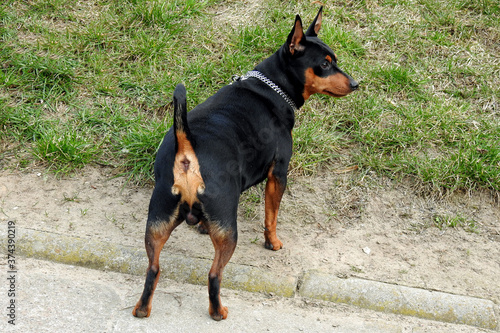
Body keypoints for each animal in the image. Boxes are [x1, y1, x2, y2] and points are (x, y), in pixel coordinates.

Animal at [135, 7, 358, 320]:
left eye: (334, 60)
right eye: (324, 65)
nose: (355, 84)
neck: (273, 87)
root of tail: (186, 149)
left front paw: (202, 228)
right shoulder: (279, 173)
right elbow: (271, 217)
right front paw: (272, 243)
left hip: (158, 218)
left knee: (153, 269)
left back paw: (142, 309)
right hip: (228, 231)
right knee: (214, 275)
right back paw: (218, 312)